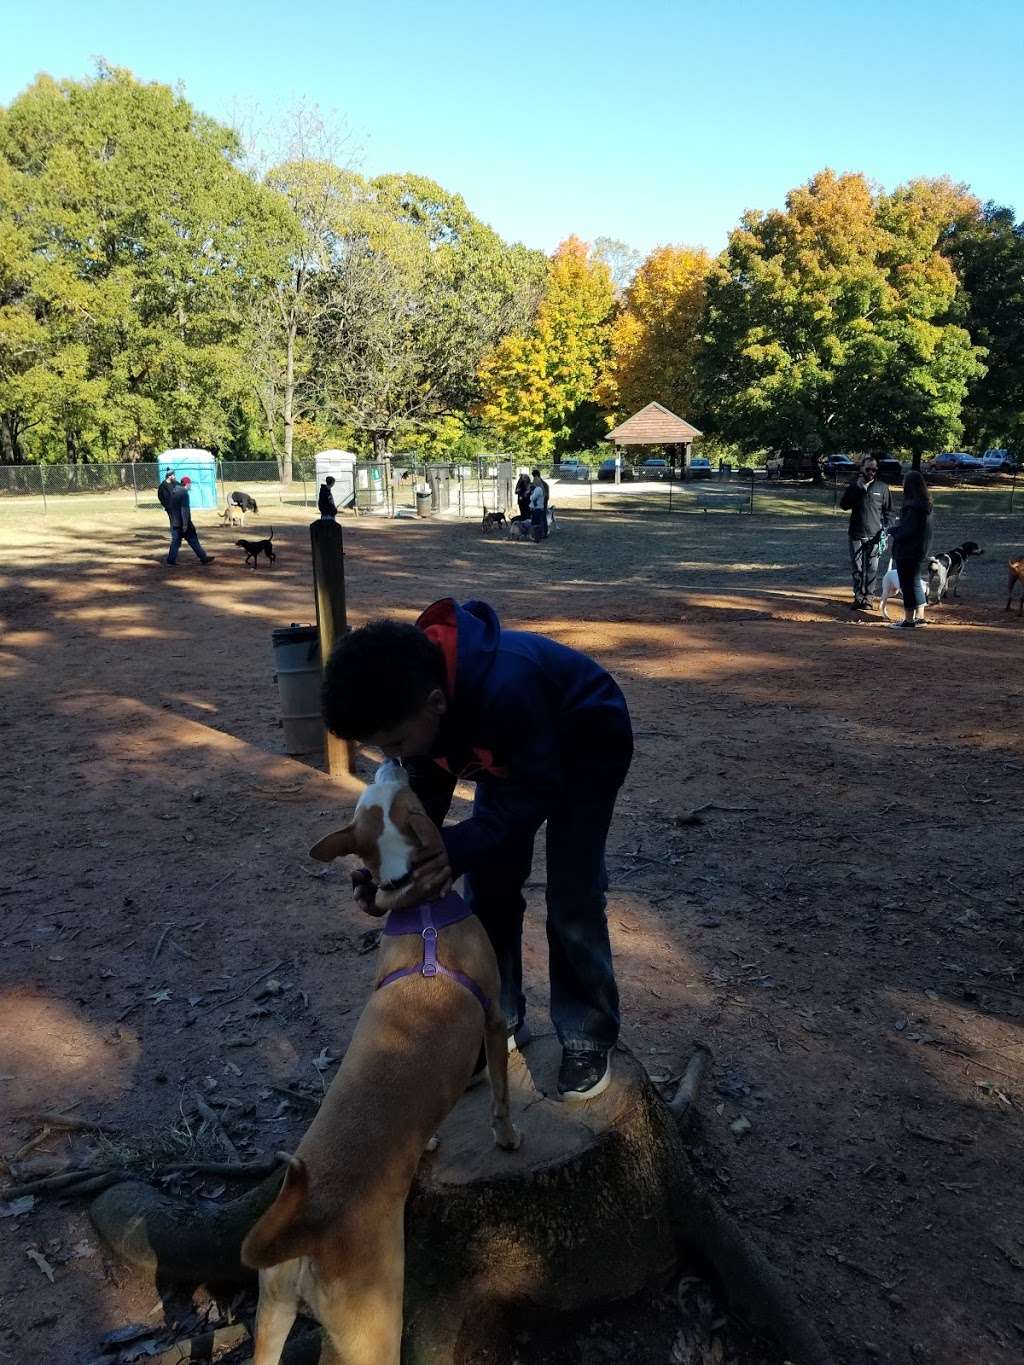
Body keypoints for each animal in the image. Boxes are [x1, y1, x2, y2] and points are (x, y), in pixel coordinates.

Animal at [236, 758, 516, 1365]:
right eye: (397, 790)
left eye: (376, 794)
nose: (393, 759)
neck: (421, 910)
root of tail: (308, 1224)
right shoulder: (493, 1016)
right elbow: (502, 1094)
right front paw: (507, 1137)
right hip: (374, 1332)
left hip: (271, 1315)